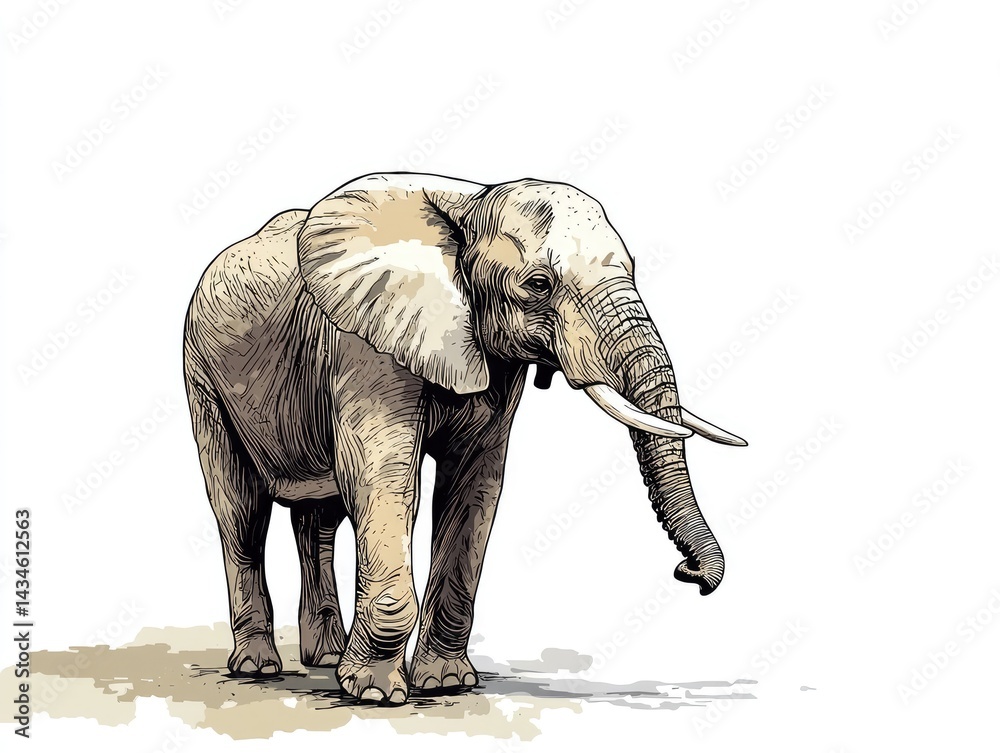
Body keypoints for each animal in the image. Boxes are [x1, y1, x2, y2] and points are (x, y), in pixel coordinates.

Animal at [183, 172, 745, 704]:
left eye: (632, 267)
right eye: (538, 284)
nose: (688, 574)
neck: (471, 203)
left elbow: (473, 486)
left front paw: (446, 684)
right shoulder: (363, 345)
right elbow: (384, 479)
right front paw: (375, 693)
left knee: (318, 517)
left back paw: (322, 658)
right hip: (204, 380)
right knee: (241, 513)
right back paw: (258, 667)